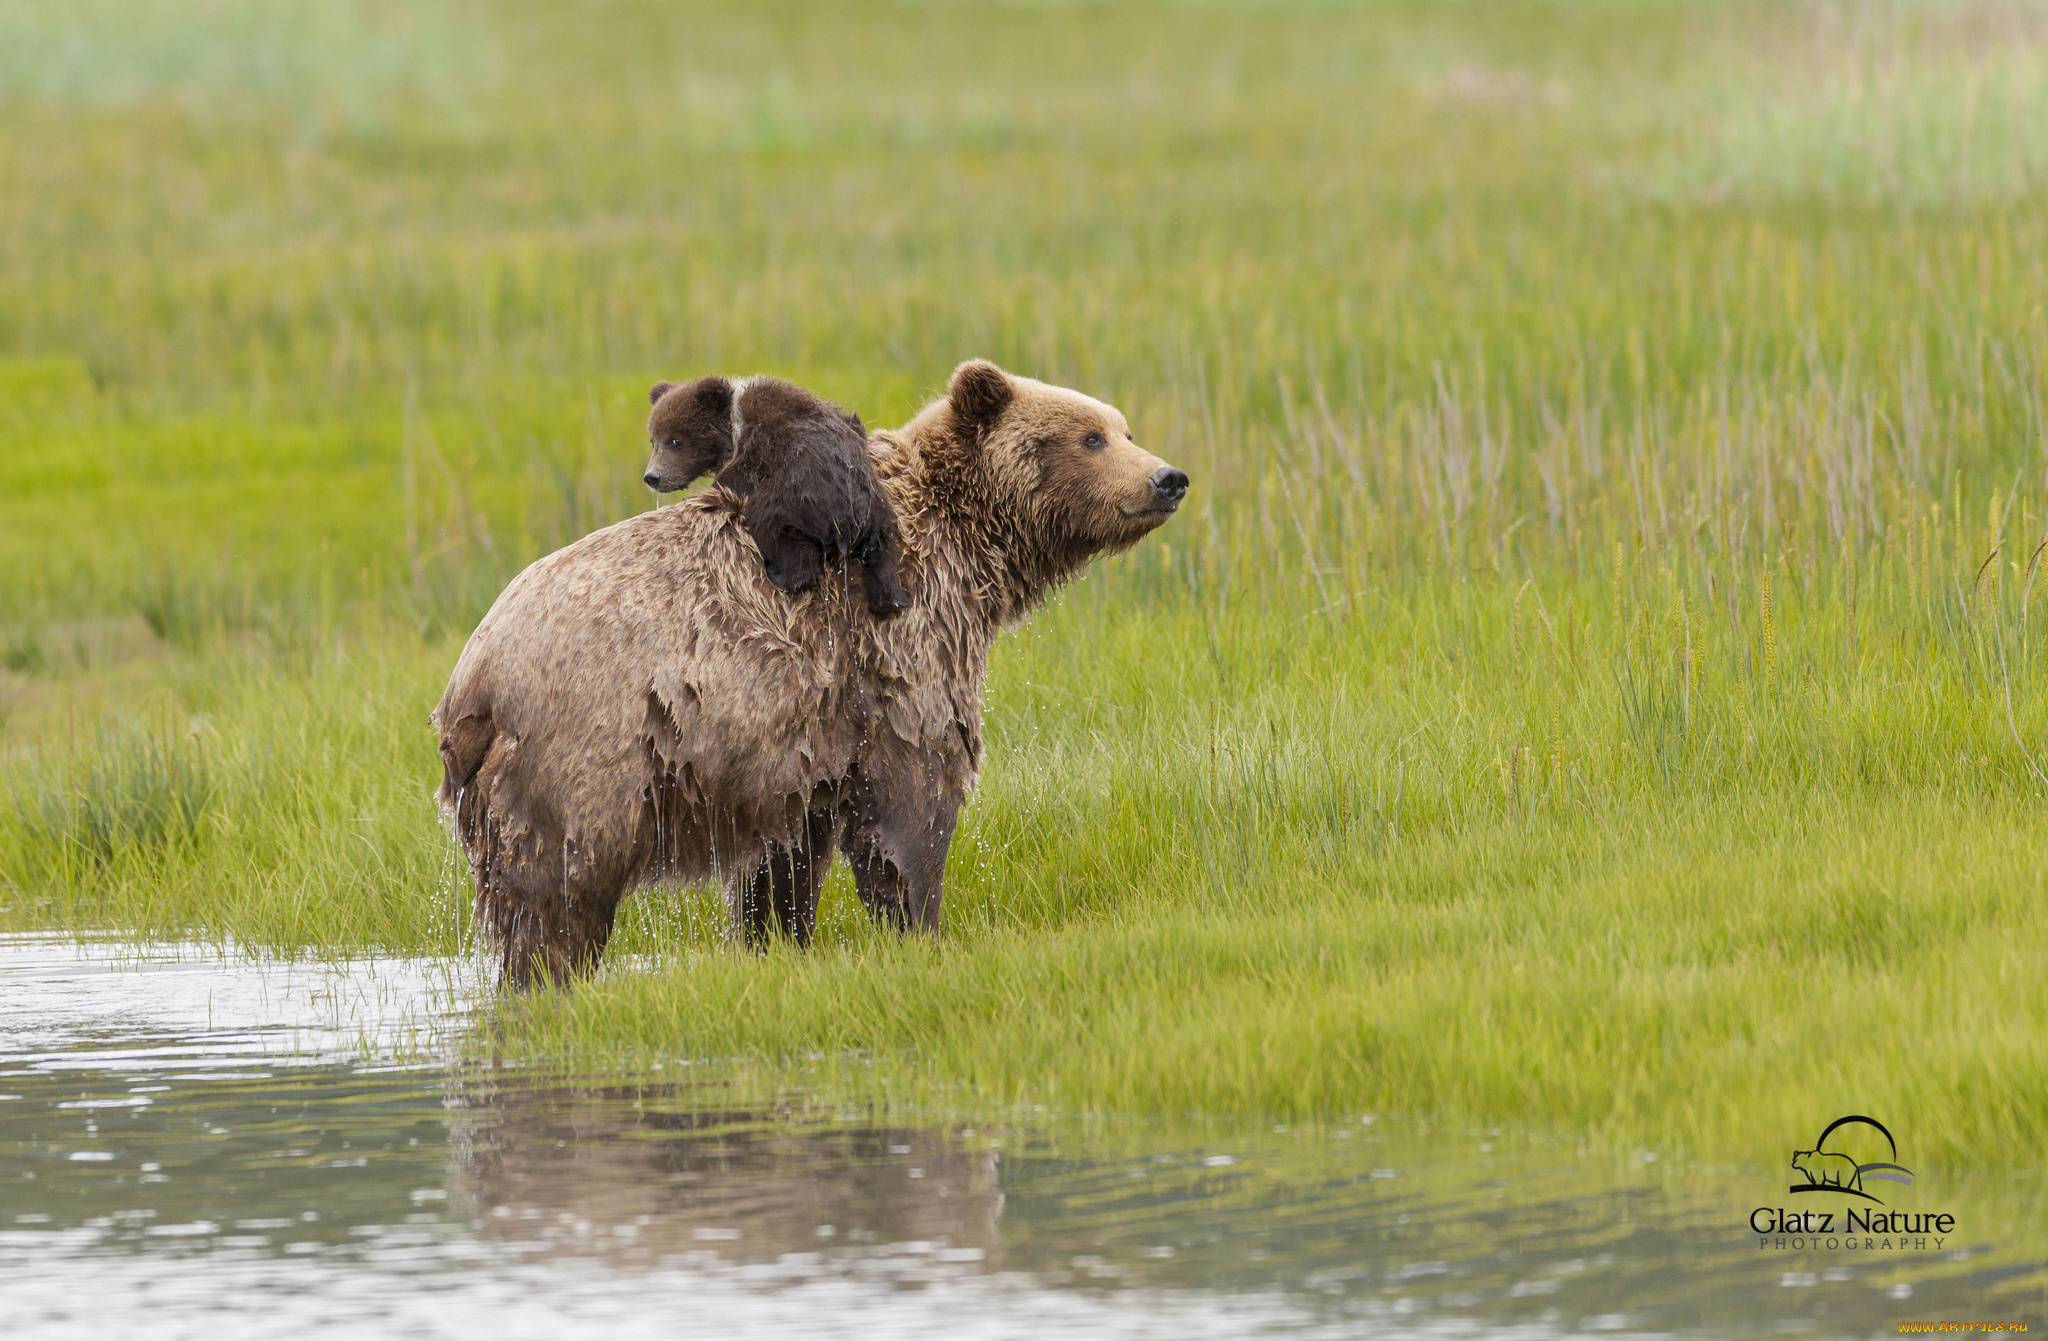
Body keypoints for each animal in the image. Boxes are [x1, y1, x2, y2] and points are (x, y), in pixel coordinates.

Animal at [634, 372, 901, 614]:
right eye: (653, 440)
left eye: (675, 440)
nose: (653, 477)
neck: (732, 427)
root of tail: (849, 520)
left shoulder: (763, 447)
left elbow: (735, 481)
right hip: (878, 508)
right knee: (884, 553)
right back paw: (890, 600)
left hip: (800, 495)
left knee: (769, 522)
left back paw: (780, 575)